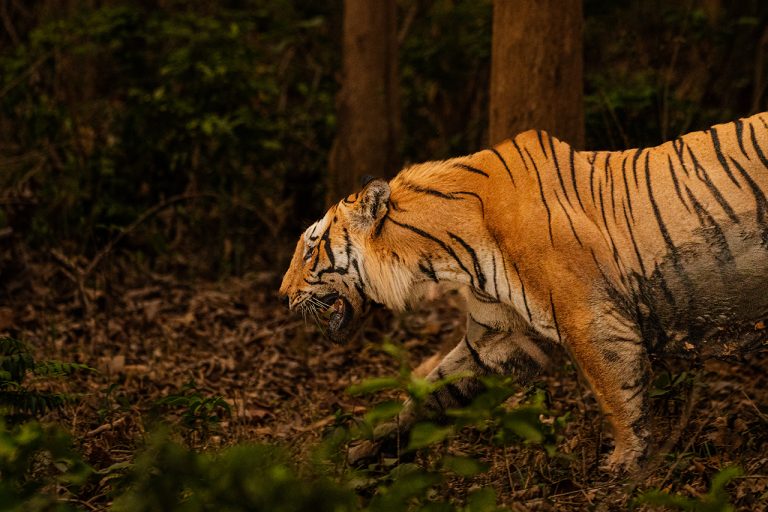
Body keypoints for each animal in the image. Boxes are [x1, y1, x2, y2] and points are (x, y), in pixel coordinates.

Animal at [279, 112, 768, 472]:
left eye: (310, 247)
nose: (282, 295)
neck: (444, 254)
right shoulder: (500, 338)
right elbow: (430, 394)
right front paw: (364, 451)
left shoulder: (592, 320)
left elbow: (617, 397)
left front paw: (623, 471)